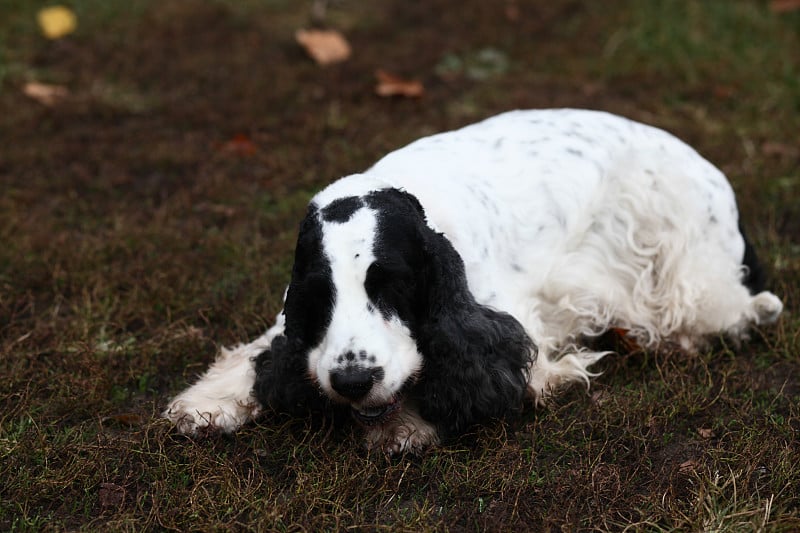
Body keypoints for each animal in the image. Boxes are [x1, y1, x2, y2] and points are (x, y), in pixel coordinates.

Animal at [162, 108, 780, 454]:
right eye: (319, 296)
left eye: (392, 285)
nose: (352, 381)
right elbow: (263, 350)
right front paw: (206, 404)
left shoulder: (509, 325)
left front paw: (407, 425)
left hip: (684, 251)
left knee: (729, 306)